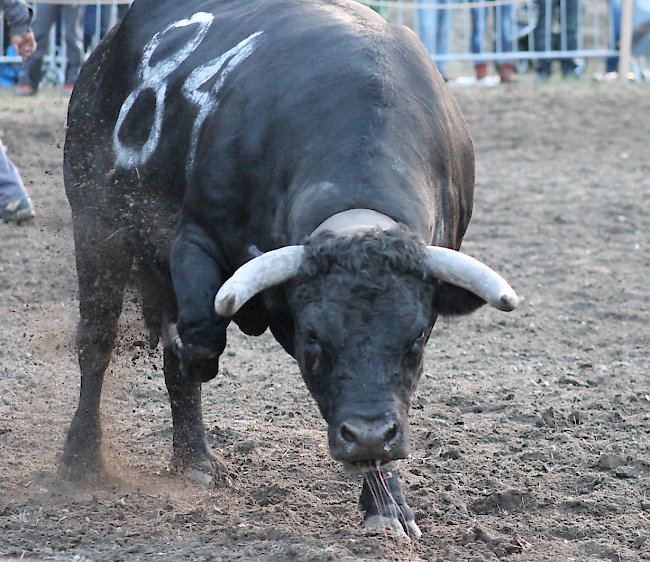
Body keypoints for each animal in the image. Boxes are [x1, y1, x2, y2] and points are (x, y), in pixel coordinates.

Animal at [62, 0, 516, 532]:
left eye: (417, 338)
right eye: (314, 337)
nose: (367, 434)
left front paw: (387, 505)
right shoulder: (194, 236)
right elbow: (200, 337)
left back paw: (193, 459)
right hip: (94, 231)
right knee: (97, 344)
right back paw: (80, 460)